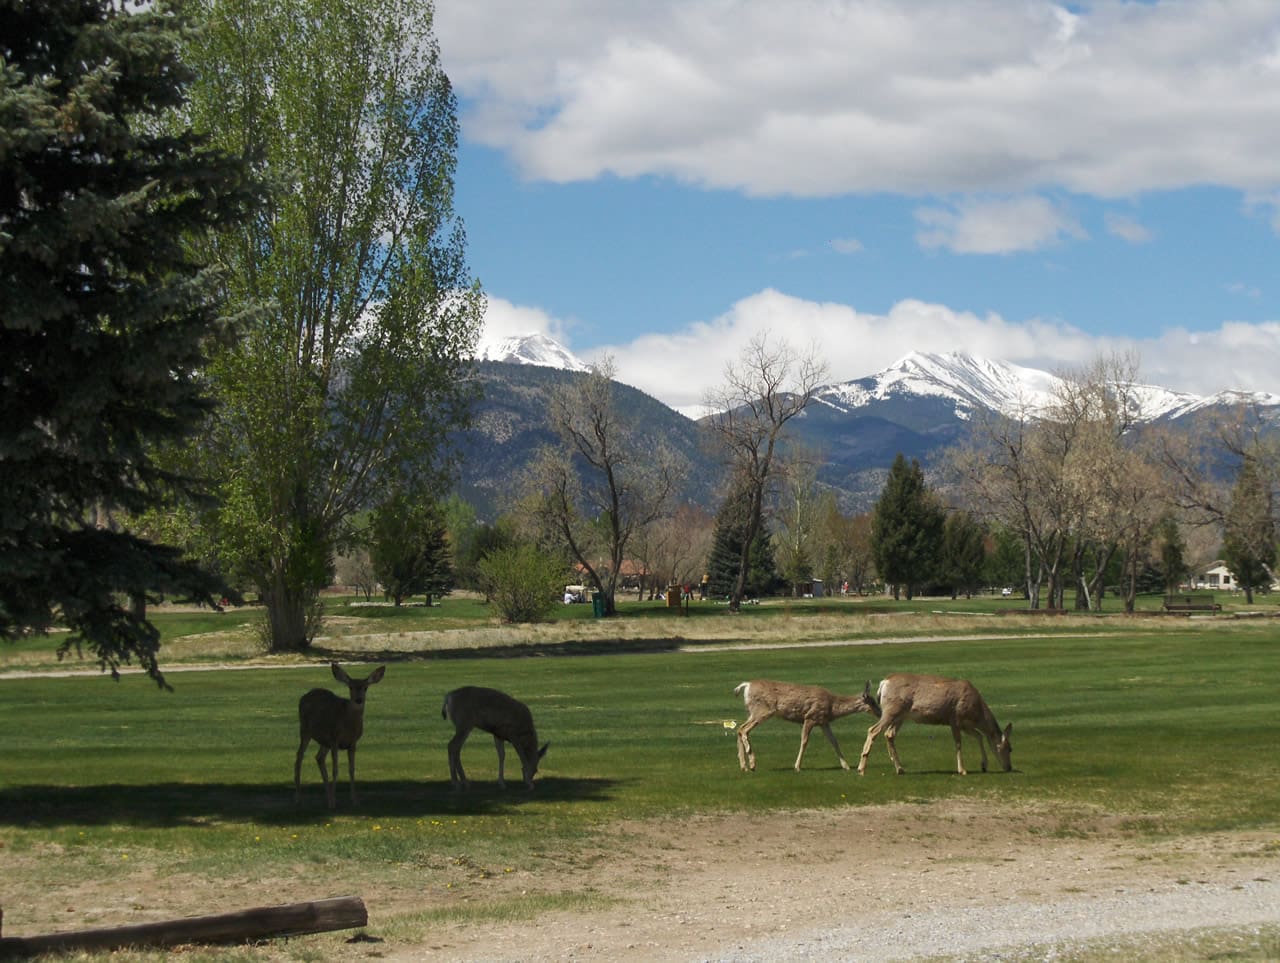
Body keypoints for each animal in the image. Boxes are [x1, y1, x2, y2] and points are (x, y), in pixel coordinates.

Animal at [294, 662, 386, 808]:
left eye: (365, 687)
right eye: (350, 687)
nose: (358, 700)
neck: (348, 725)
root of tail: (305, 695)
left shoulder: (353, 743)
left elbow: (351, 769)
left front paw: (354, 800)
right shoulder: (334, 739)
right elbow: (335, 770)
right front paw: (333, 803)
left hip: (323, 740)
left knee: (319, 757)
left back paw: (327, 797)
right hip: (305, 730)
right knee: (299, 757)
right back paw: (299, 798)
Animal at [733, 679, 880, 772]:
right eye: (873, 702)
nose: (880, 713)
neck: (832, 706)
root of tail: (747, 685)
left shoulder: (823, 722)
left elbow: (834, 742)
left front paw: (846, 766)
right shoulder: (810, 717)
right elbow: (804, 741)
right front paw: (797, 767)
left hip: (752, 712)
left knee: (739, 729)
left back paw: (743, 766)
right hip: (762, 710)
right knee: (744, 729)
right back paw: (752, 763)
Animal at [857, 673, 1012, 776]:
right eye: (1010, 748)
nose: (1009, 768)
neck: (976, 713)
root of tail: (884, 683)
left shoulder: (965, 724)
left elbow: (979, 736)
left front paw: (984, 765)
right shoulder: (955, 718)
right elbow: (958, 743)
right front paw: (962, 770)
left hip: (900, 716)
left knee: (889, 734)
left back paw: (900, 769)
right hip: (891, 710)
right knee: (873, 730)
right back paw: (861, 769)